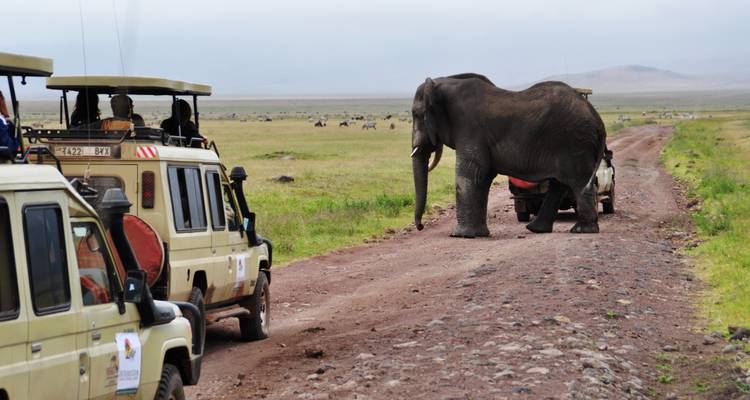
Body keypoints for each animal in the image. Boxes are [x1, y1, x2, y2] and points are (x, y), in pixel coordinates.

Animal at [411, 74, 607, 237]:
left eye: (416, 114)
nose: (420, 226)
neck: (441, 83)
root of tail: (598, 120)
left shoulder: (470, 128)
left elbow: (471, 173)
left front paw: (461, 236)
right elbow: (482, 177)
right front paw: (479, 234)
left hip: (575, 142)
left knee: (577, 183)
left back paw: (582, 231)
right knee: (559, 185)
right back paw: (537, 229)